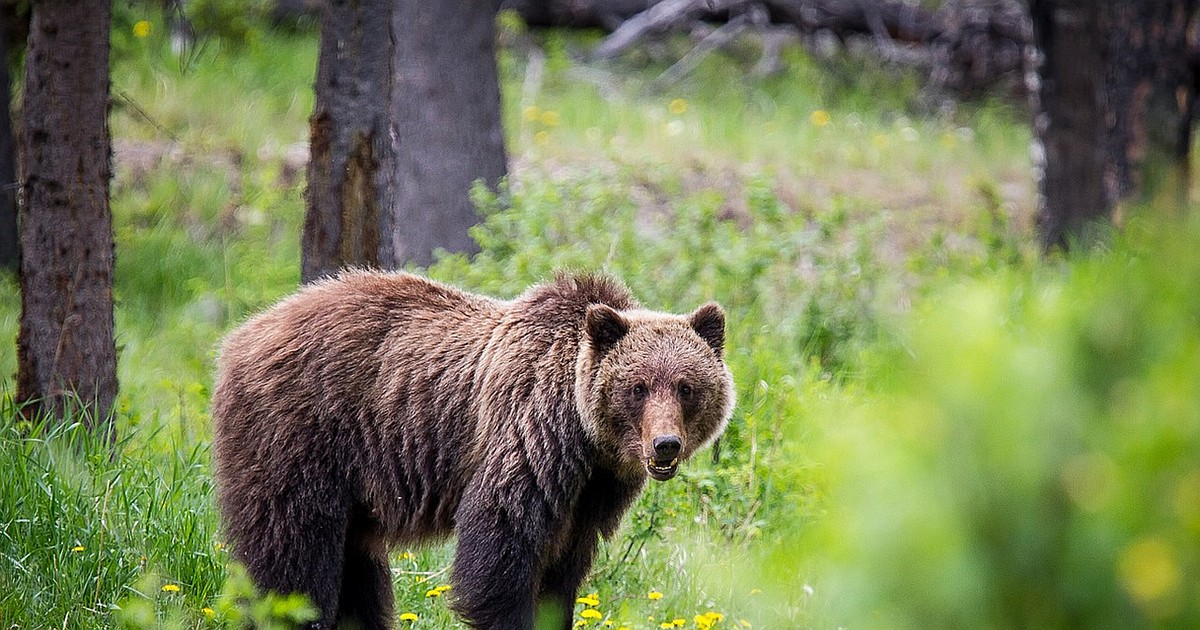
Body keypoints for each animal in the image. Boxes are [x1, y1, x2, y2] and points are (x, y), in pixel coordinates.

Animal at [210, 271, 735, 630]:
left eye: (686, 387)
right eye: (638, 387)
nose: (665, 445)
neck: (583, 438)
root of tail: (242, 334)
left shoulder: (589, 496)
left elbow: (562, 575)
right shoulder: (527, 444)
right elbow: (499, 557)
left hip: (354, 487)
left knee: (357, 569)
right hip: (300, 436)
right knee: (292, 555)